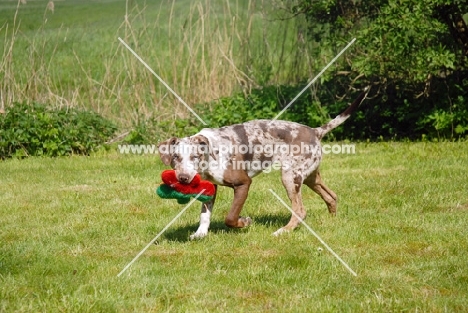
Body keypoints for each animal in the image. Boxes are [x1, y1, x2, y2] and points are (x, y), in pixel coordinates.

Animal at [158, 88, 370, 239]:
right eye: (175, 157)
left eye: (195, 156)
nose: (183, 178)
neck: (211, 156)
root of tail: (315, 131)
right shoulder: (210, 187)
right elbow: (205, 215)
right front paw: (200, 234)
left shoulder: (243, 184)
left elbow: (231, 217)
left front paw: (244, 222)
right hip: (309, 176)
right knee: (331, 196)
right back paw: (332, 223)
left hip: (289, 176)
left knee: (300, 210)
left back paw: (283, 231)